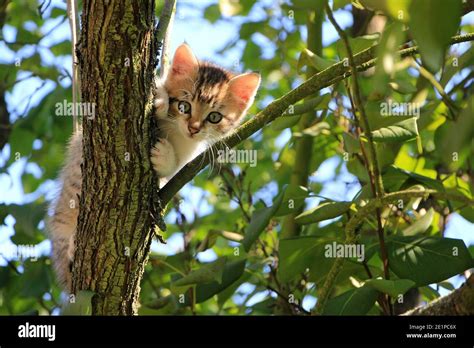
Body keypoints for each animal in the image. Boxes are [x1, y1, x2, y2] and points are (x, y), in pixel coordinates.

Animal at [47, 42, 262, 290]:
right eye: (184, 105)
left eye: (214, 117)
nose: (194, 128)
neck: (176, 132)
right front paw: (159, 100)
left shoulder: (187, 154)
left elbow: (174, 168)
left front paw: (164, 156)